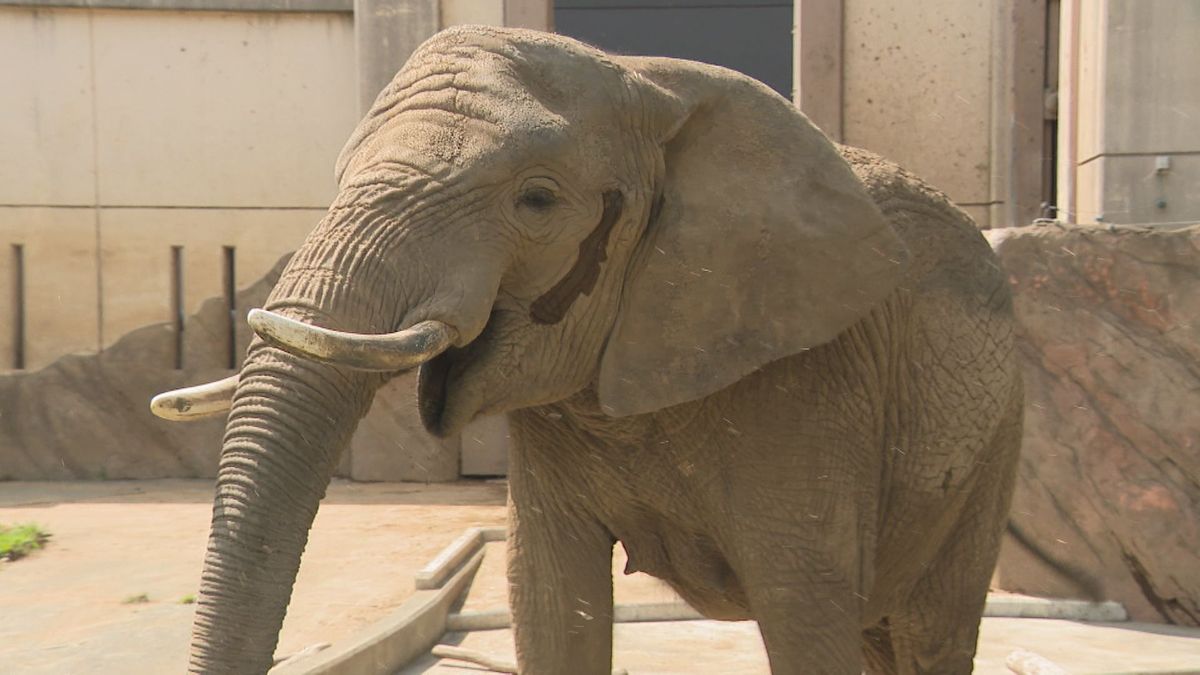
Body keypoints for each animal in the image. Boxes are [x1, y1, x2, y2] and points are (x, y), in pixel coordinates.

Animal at [152, 26, 1022, 672]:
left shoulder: (810, 378)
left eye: (537, 200)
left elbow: (802, 610)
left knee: (928, 632)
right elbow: (547, 601)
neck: (648, 80)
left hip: (993, 445)